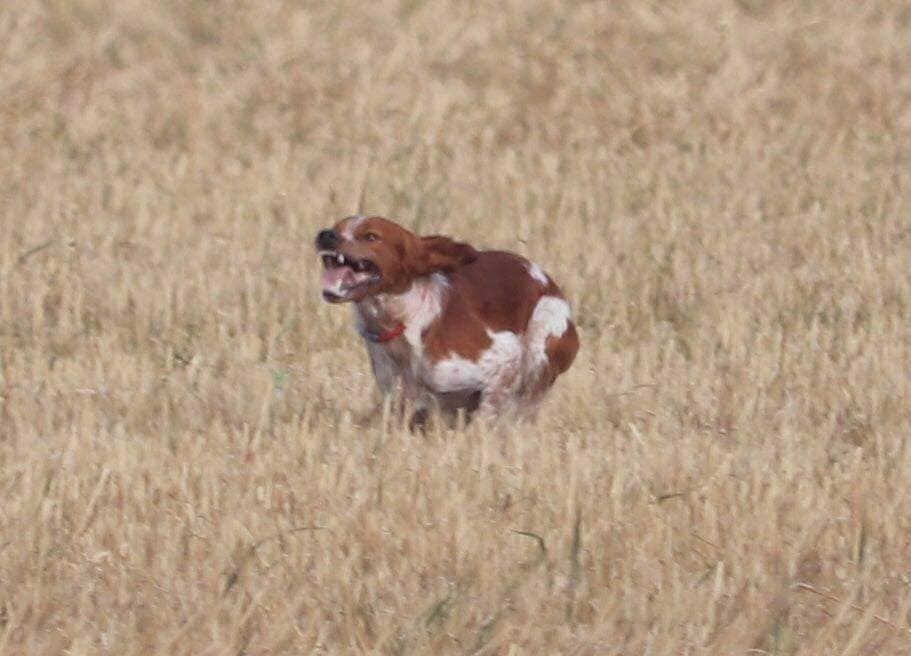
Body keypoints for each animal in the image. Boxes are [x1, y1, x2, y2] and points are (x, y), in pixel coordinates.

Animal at [318, 217, 580, 430]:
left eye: (371, 236)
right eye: (337, 227)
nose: (325, 234)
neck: (405, 320)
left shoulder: (504, 357)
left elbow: (490, 415)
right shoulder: (397, 394)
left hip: (543, 333)